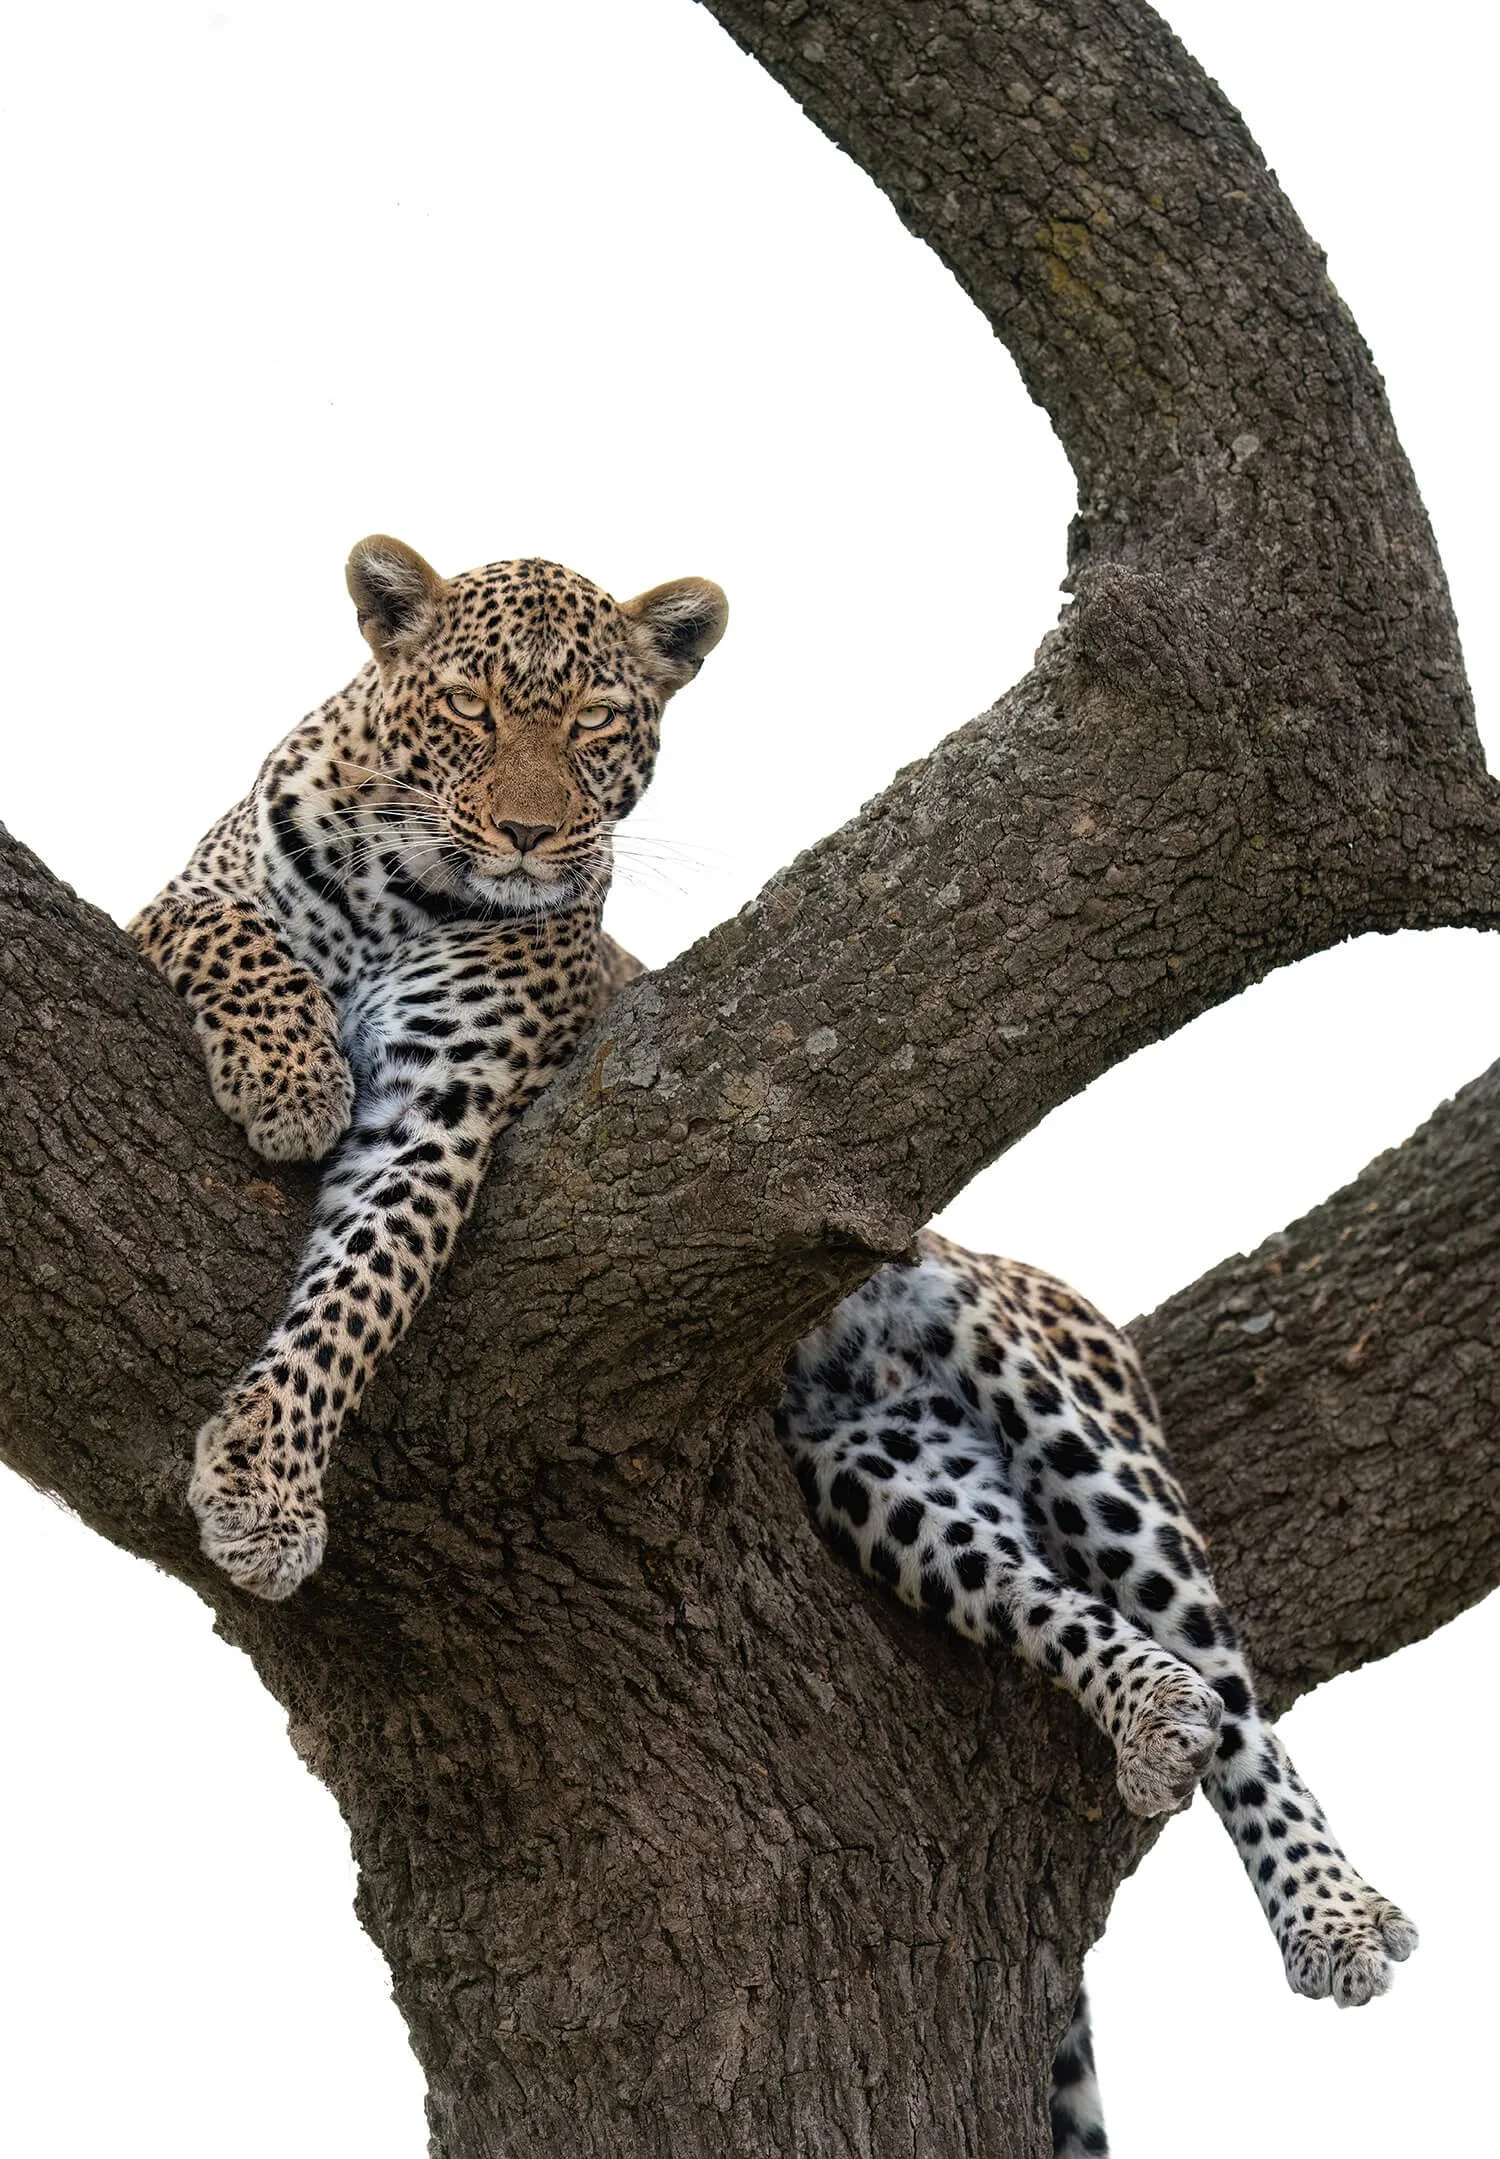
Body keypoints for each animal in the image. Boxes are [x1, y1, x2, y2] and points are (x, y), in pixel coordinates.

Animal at [136, 536, 1415, 2156]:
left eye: (598, 723)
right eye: (473, 708)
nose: (531, 834)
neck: (392, 887)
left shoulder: (442, 1108)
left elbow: (359, 1288)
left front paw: (263, 1483)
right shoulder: (170, 904)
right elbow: (227, 931)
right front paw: (286, 1071)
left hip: (1061, 1388)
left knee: (1234, 1678)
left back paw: (1331, 1906)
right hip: (891, 1480)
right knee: (1075, 1614)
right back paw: (1146, 1718)